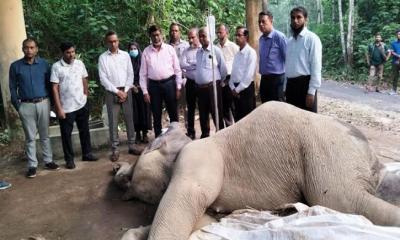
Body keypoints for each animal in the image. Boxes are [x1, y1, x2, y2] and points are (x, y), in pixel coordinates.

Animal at [113, 101, 400, 240]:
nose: (118, 170)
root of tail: (374, 162)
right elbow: (204, 221)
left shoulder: (196, 159)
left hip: (327, 153)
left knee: (341, 200)